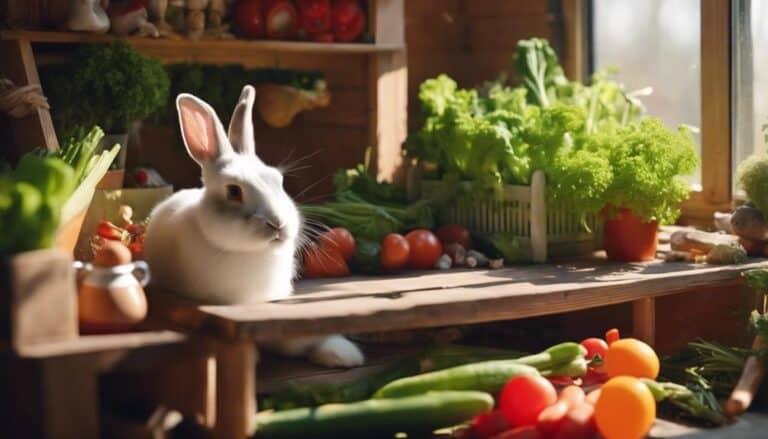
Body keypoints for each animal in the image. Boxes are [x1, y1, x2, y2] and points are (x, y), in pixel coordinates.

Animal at [144, 85, 364, 368]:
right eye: (233, 191)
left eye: (279, 181)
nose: (278, 223)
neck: (252, 253)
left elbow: (296, 340)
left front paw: (345, 355)